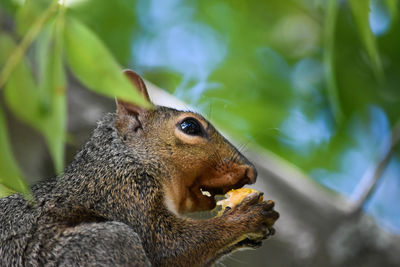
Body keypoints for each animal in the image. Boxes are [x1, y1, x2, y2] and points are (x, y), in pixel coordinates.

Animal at [0, 70, 278, 266]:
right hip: (104, 244)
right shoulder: (121, 191)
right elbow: (168, 245)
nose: (251, 172)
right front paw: (247, 216)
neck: (126, 157)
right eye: (190, 126)